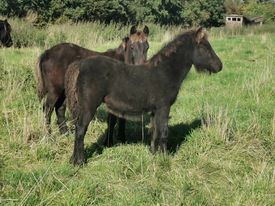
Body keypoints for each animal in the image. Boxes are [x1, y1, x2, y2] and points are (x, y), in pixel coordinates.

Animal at [69, 27, 224, 166]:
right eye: (204, 48)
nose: (219, 66)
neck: (164, 71)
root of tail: (80, 65)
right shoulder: (163, 107)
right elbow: (163, 133)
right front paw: (164, 158)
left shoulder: (155, 110)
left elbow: (155, 132)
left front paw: (154, 154)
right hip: (89, 107)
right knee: (81, 130)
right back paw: (79, 162)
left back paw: (72, 160)